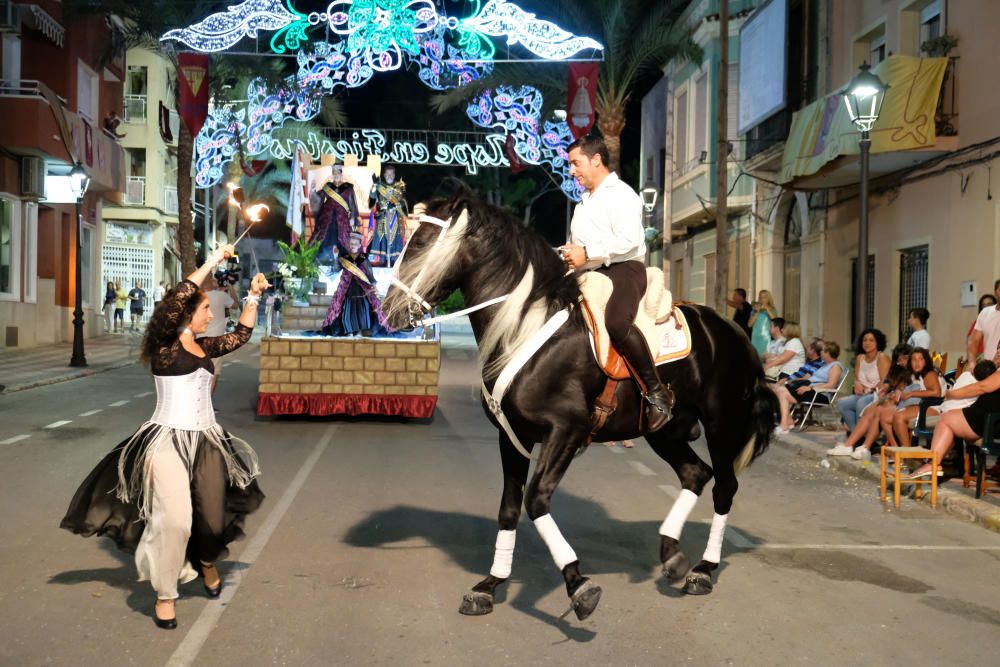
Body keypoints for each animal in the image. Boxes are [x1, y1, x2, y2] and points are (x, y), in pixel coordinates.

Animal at [384, 189, 780, 620]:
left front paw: (578, 585)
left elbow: (536, 499)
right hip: (664, 431)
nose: (387, 308)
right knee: (695, 474)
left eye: (420, 242)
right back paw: (672, 555)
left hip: (723, 425)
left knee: (724, 487)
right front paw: (489, 585)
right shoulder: (512, 435)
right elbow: (509, 508)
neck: (525, 327)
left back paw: (703, 570)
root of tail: (735, 333)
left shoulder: (566, 430)